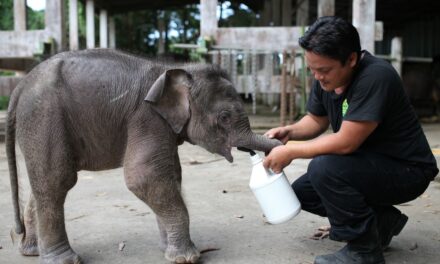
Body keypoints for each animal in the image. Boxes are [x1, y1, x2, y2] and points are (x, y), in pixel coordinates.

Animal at [6, 48, 280, 262]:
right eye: (224, 117)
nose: (277, 140)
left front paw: (168, 249)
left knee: (41, 184)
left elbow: (171, 175)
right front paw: (188, 258)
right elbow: (145, 176)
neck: (175, 70)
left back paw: (31, 251)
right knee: (56, 181)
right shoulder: (146, 118)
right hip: (44, 117)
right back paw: (64, 260)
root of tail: (21, 86)